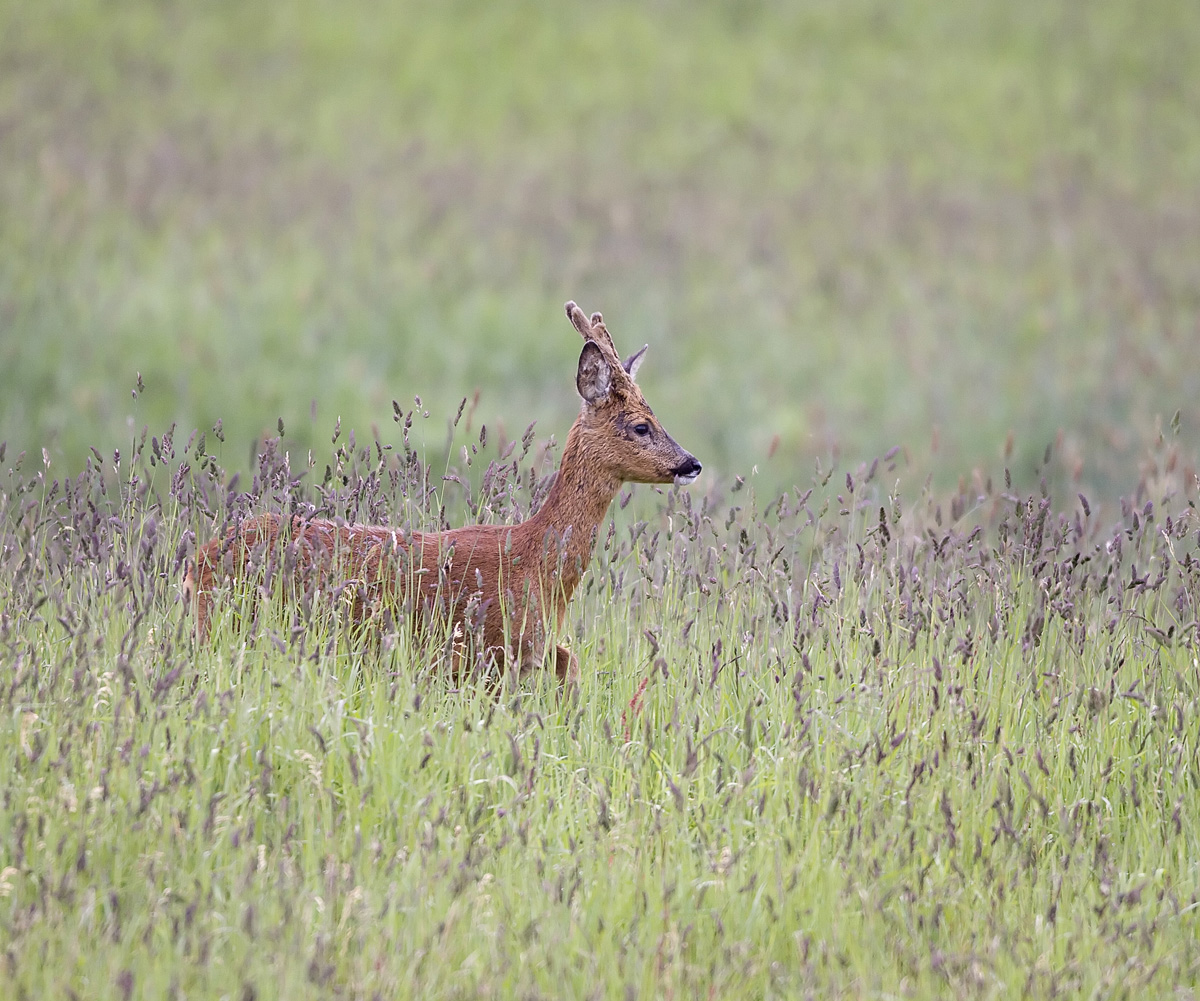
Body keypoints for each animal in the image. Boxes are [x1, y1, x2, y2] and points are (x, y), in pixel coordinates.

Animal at [185, 301, 702, 688]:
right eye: (642, 425)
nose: (691, 464)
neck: (537, 565)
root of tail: (197, 561)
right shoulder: (482, 652)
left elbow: (570, 664)